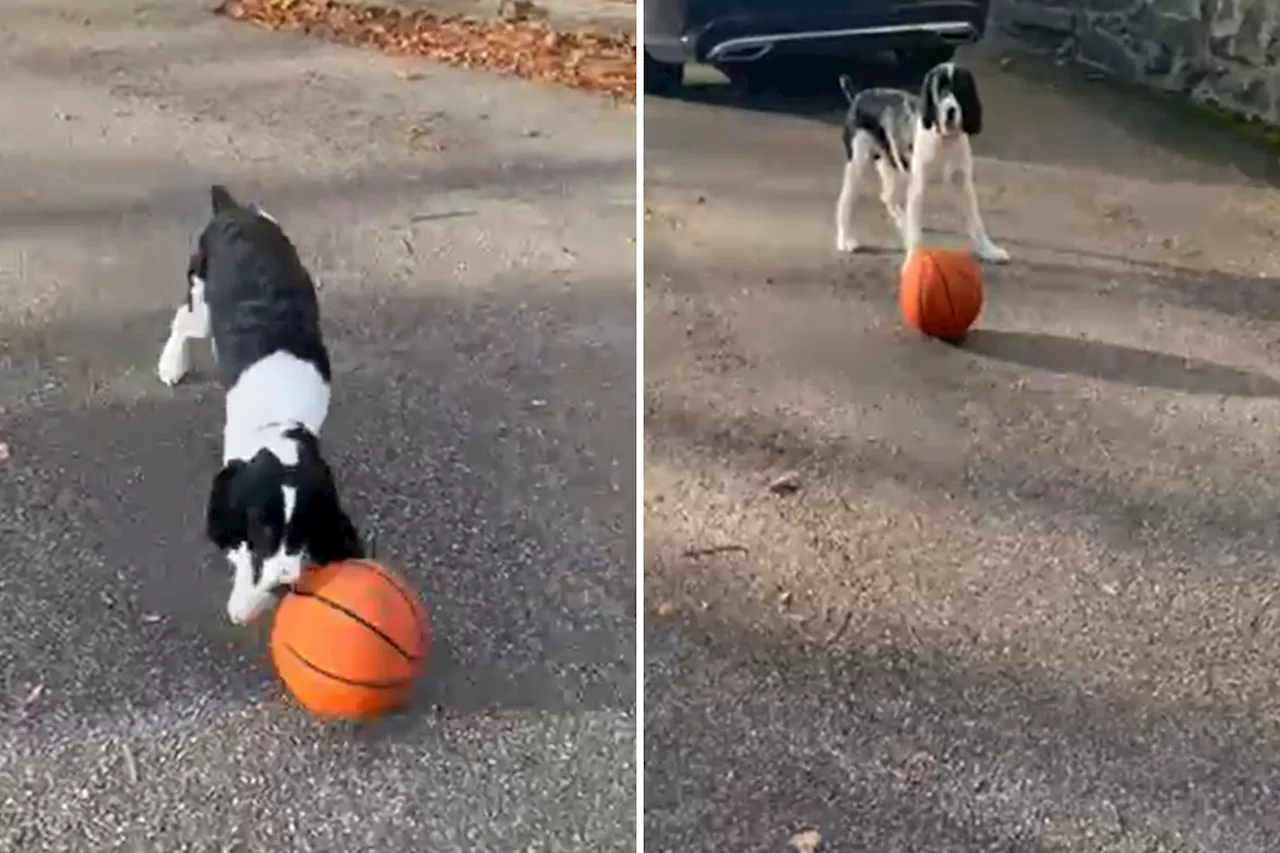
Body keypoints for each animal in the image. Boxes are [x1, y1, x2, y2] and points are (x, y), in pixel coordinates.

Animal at [158, 184, 366, 625]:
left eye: (304, 528)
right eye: (265, 529)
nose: (284, 580)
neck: (281, 419)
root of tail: (233, 210)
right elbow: (240, 550)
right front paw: (245, 601)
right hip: (202, 302)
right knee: (183, 321)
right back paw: (171, 364)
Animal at [834, 60, 1003, 263]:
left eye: (961, 87)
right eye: (939, 90)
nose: (950, 111)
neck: (942, 140)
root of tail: (859, 96)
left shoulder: (961, 183)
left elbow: (976, 220)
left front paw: (989, 250)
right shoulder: (918, 184)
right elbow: (915, 230)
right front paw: (915, 256)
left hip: (894, 163)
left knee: (888, 196)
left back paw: (901, 222)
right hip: (858, 162)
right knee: (846, 200)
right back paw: (845, 239)